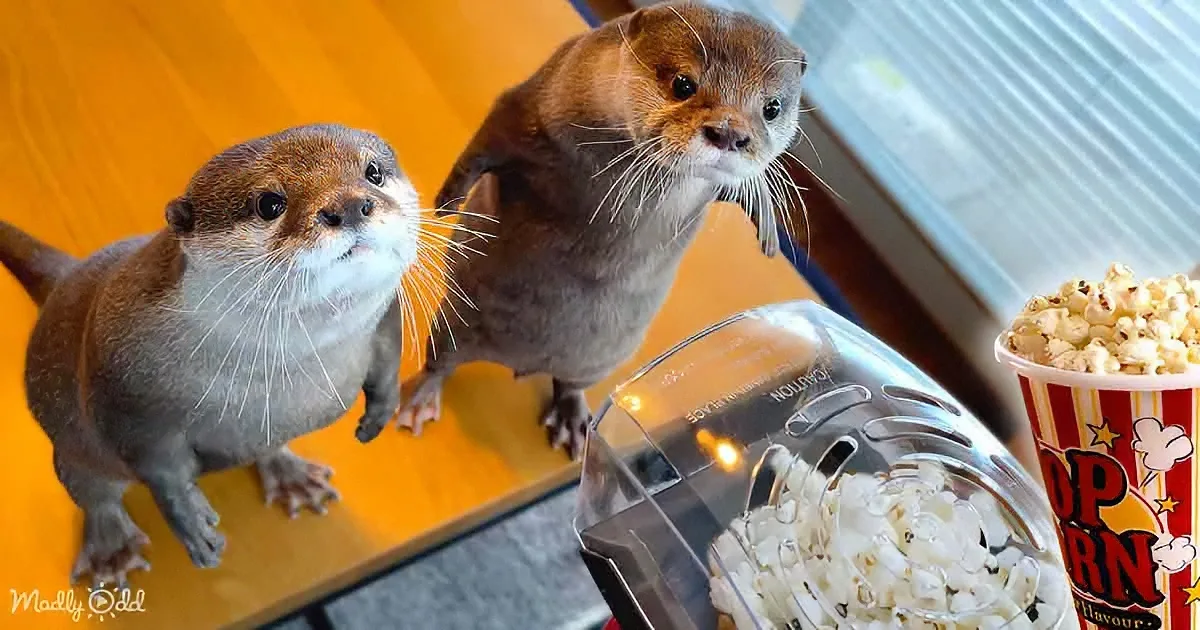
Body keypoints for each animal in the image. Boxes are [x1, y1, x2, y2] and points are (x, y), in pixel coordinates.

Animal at [0, 124, 420, 586]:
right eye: (270, 203)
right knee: (93, 491)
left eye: (373, 172)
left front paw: (382, 411)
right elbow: (155, 466)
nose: (348, 206)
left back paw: (292, 477)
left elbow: (389, 350)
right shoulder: (121, 386)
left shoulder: (384, 316)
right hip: (70, 446)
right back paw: (111, 551)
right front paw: (190, 521)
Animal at [354, 1, 808, 458]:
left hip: (602, 357)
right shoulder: (529, 103)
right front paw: (447, 201)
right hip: (457, 322)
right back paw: (418, 400)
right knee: (441, 360)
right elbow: (485, 143)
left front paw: (770, 230)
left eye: (772, 108)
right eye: (683, 84)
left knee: (569, 384)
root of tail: (523, 363)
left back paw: (573, 421)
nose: (730, 132)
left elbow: (754, 183)